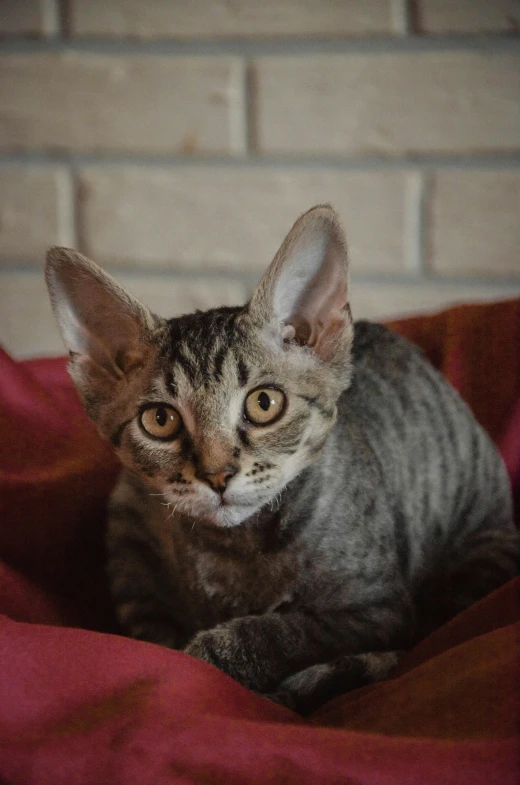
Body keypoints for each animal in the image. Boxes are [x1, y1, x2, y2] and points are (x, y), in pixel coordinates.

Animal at [46, 205, 516, 712]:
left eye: (264, 403)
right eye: (160, 420)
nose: (217, 474)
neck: (234, 549)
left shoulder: (377, 609)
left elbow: (277, 633)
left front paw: (214, 655)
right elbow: (158, 647)